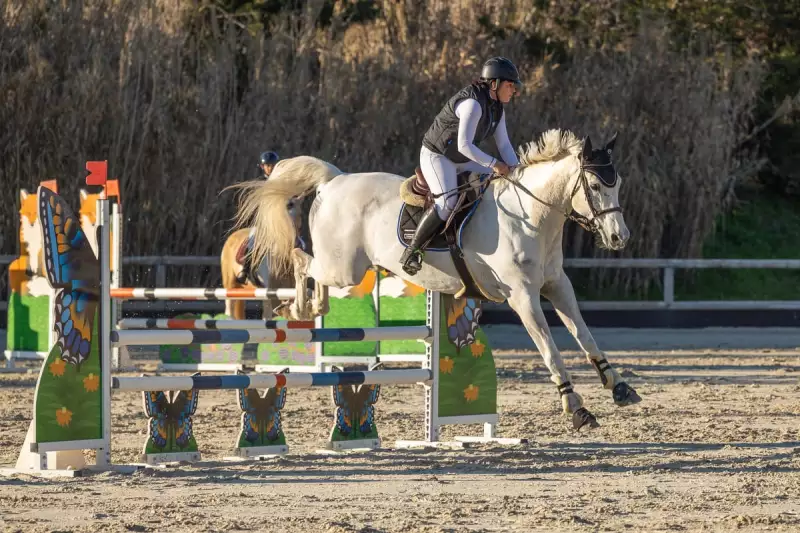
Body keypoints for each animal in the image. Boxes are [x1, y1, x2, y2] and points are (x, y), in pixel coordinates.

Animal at [230, 129, 636, 428]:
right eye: (595, 187)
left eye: (617, 185)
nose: (620, 237)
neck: (531, 216)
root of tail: (334, 181)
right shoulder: (522, 296)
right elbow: (550, 348)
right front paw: (576, 407)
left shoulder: (556, 286)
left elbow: (584, 334)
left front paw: (618, 386)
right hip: (342, 266)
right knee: (303, 261)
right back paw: (296, 307)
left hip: (345, 268)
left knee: (318, 280)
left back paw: (309, 307)